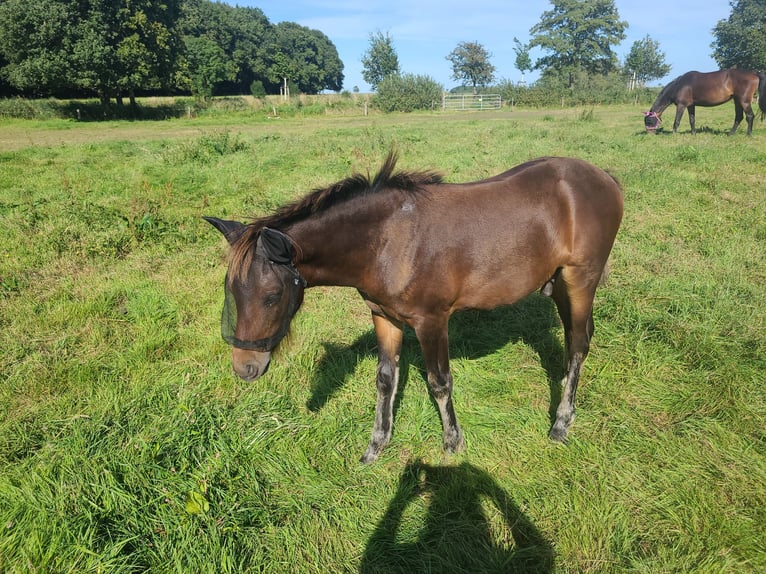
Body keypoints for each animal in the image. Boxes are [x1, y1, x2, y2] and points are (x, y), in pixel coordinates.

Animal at [204, 152, 624, 464]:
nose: (244, 368)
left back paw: (561, 422)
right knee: (572, 339)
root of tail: (604, 178)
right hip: (559, 284)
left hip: (581, 280)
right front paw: (376, 445)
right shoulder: (384, 316)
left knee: (579, 344)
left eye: (272, 296)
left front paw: (453, 442)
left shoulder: (431, 321)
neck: (388, 242)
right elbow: (385, 379)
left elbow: (439, 382)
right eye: (232, 293)